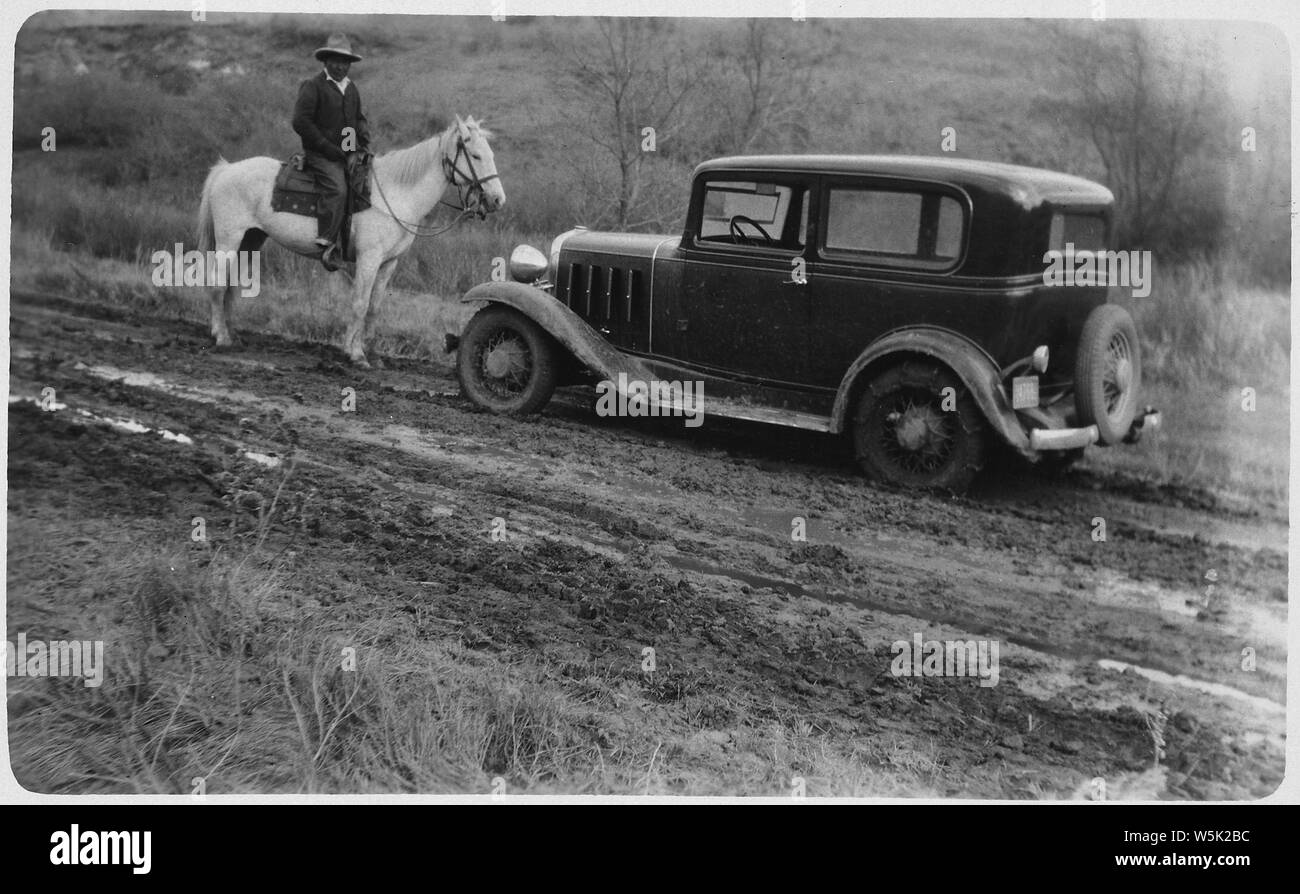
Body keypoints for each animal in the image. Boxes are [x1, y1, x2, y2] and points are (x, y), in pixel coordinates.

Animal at [195, 114, 504, 366]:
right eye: (475, 155)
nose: (497, 200)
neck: (395, 194)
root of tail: (226, 169)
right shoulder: (369, 259)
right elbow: (359, 303)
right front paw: (355, 354)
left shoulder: (389, 263)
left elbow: (374, 307)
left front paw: (370, 352)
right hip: (229, 239)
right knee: (217, 283)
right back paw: (222, 337)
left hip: (251, 240)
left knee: (232, 284)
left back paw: (233, 333)